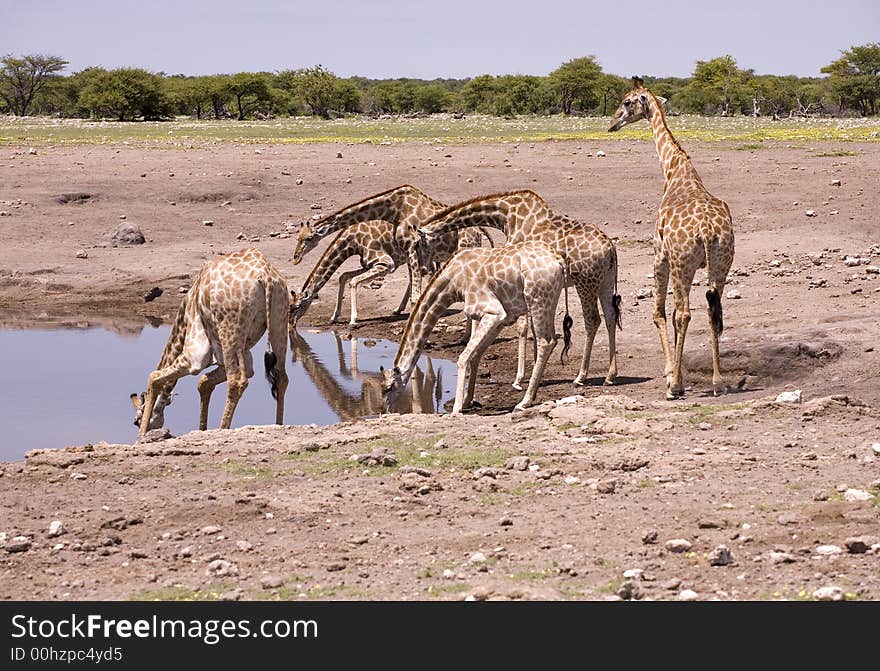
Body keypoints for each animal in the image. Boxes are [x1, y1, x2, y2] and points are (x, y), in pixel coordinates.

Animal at [131, 248, 288, 436]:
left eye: (136, 422)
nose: (139, 427)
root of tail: (265, 276)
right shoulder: (242, 355)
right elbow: (204, 382)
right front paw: (202, 429)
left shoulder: (195, 354)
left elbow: (154, 377)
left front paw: (141, 437)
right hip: (279, 320)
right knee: (281, 378)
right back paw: (278, 425)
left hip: (230, 327)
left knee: (236, 381)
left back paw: (223, 429)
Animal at [382, 239, 568, 412]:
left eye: (389, 387)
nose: (384, 411)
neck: (452, 282)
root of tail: (558, 261)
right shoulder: (503, 318)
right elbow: (476, 355)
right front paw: (467, 401)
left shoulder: (493, 312)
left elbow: (464, 357)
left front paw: (457, 408)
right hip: (549, 302)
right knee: (552, 340)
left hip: (537, 300)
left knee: (545, 342)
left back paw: (524, 402)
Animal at [418, 189, 620, 388]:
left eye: (419, 244)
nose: (423, 269)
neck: (506, 216)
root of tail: (610, 247)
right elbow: (533, 329)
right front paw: (536, 373)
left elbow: (522, 327)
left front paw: (519, 378)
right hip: (605, 282)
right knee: (610, 316)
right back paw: (610, 375)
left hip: (585, 282)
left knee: (592, 320)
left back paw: (581, 377)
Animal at [604, 75, 736, 400]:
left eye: (627, 101)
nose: (612, 123)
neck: (674, 169)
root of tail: (707, 231)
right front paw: (678, 373)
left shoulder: (658, 255)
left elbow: (659, 313)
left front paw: (670, 375)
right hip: (722, 264)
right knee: (713, 311)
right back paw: (718, 382)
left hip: (680, 264)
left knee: (684, 313)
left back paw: (675, 387)